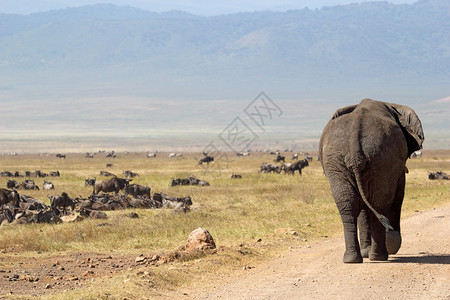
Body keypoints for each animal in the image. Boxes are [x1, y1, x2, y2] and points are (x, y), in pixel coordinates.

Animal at [318, 98, 424, 262]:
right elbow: (398, 196)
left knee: (349, 206)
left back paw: (353, 259)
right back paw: (379, 256)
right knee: (379, 204)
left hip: (336, 160)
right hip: (381, 159)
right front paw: (392, 245)